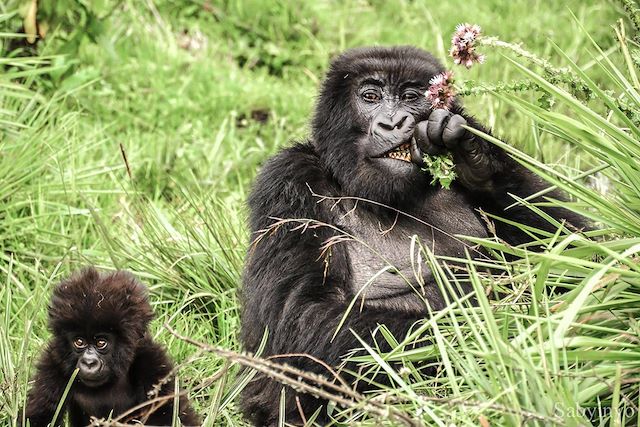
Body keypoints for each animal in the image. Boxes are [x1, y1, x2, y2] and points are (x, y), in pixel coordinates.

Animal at [21, 270, 199, 427]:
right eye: (79, 342)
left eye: (101, 343)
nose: (89, 362)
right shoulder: (53, 363)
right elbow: (39, 416)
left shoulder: (152, 362)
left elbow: (169, 415)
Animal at [240, 45, 584, 426]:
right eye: (370, 97)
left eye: (410, 97)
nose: (393, 123)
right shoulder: (289, 180)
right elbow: (302, 318)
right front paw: (501, 331)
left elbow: (576, 244)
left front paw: (476, 155)